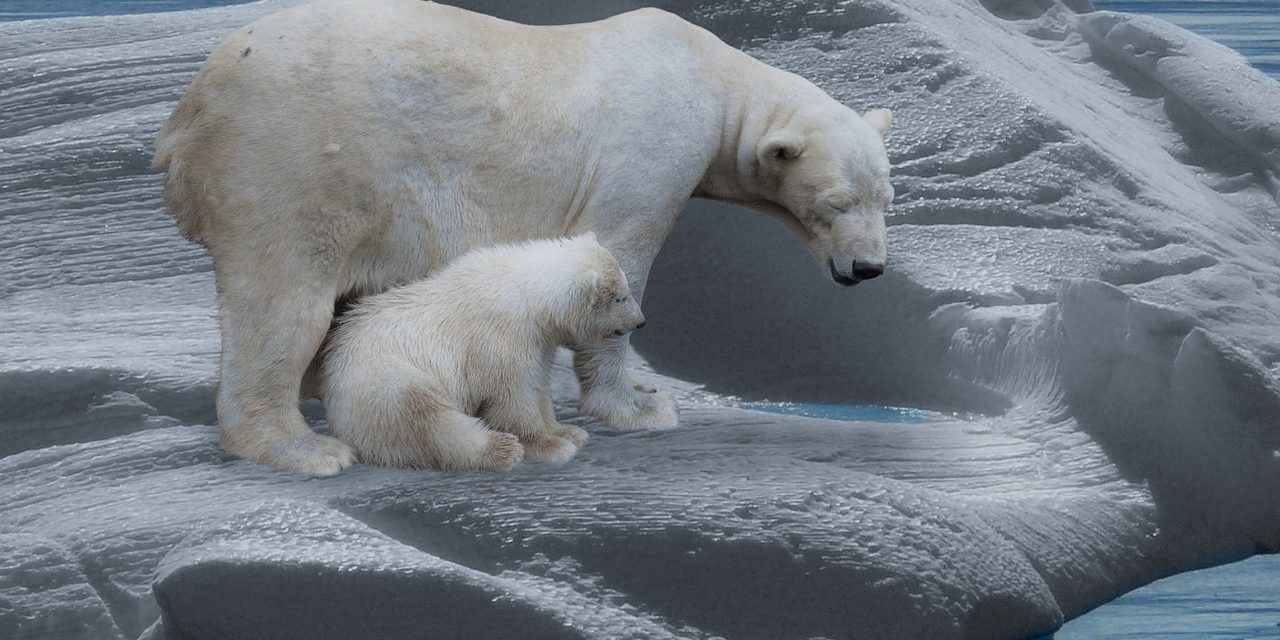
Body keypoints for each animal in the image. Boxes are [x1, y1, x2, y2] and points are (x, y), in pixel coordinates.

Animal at [154, 0, 896, 476]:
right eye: (836, 204)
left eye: (886, 199)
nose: (869, 268)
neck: (712, 78)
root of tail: (187, 113)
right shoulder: (648, 152)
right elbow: (620, 253)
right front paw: (640, 405)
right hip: (289, 160)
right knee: (287, 300)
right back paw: (307, 448)